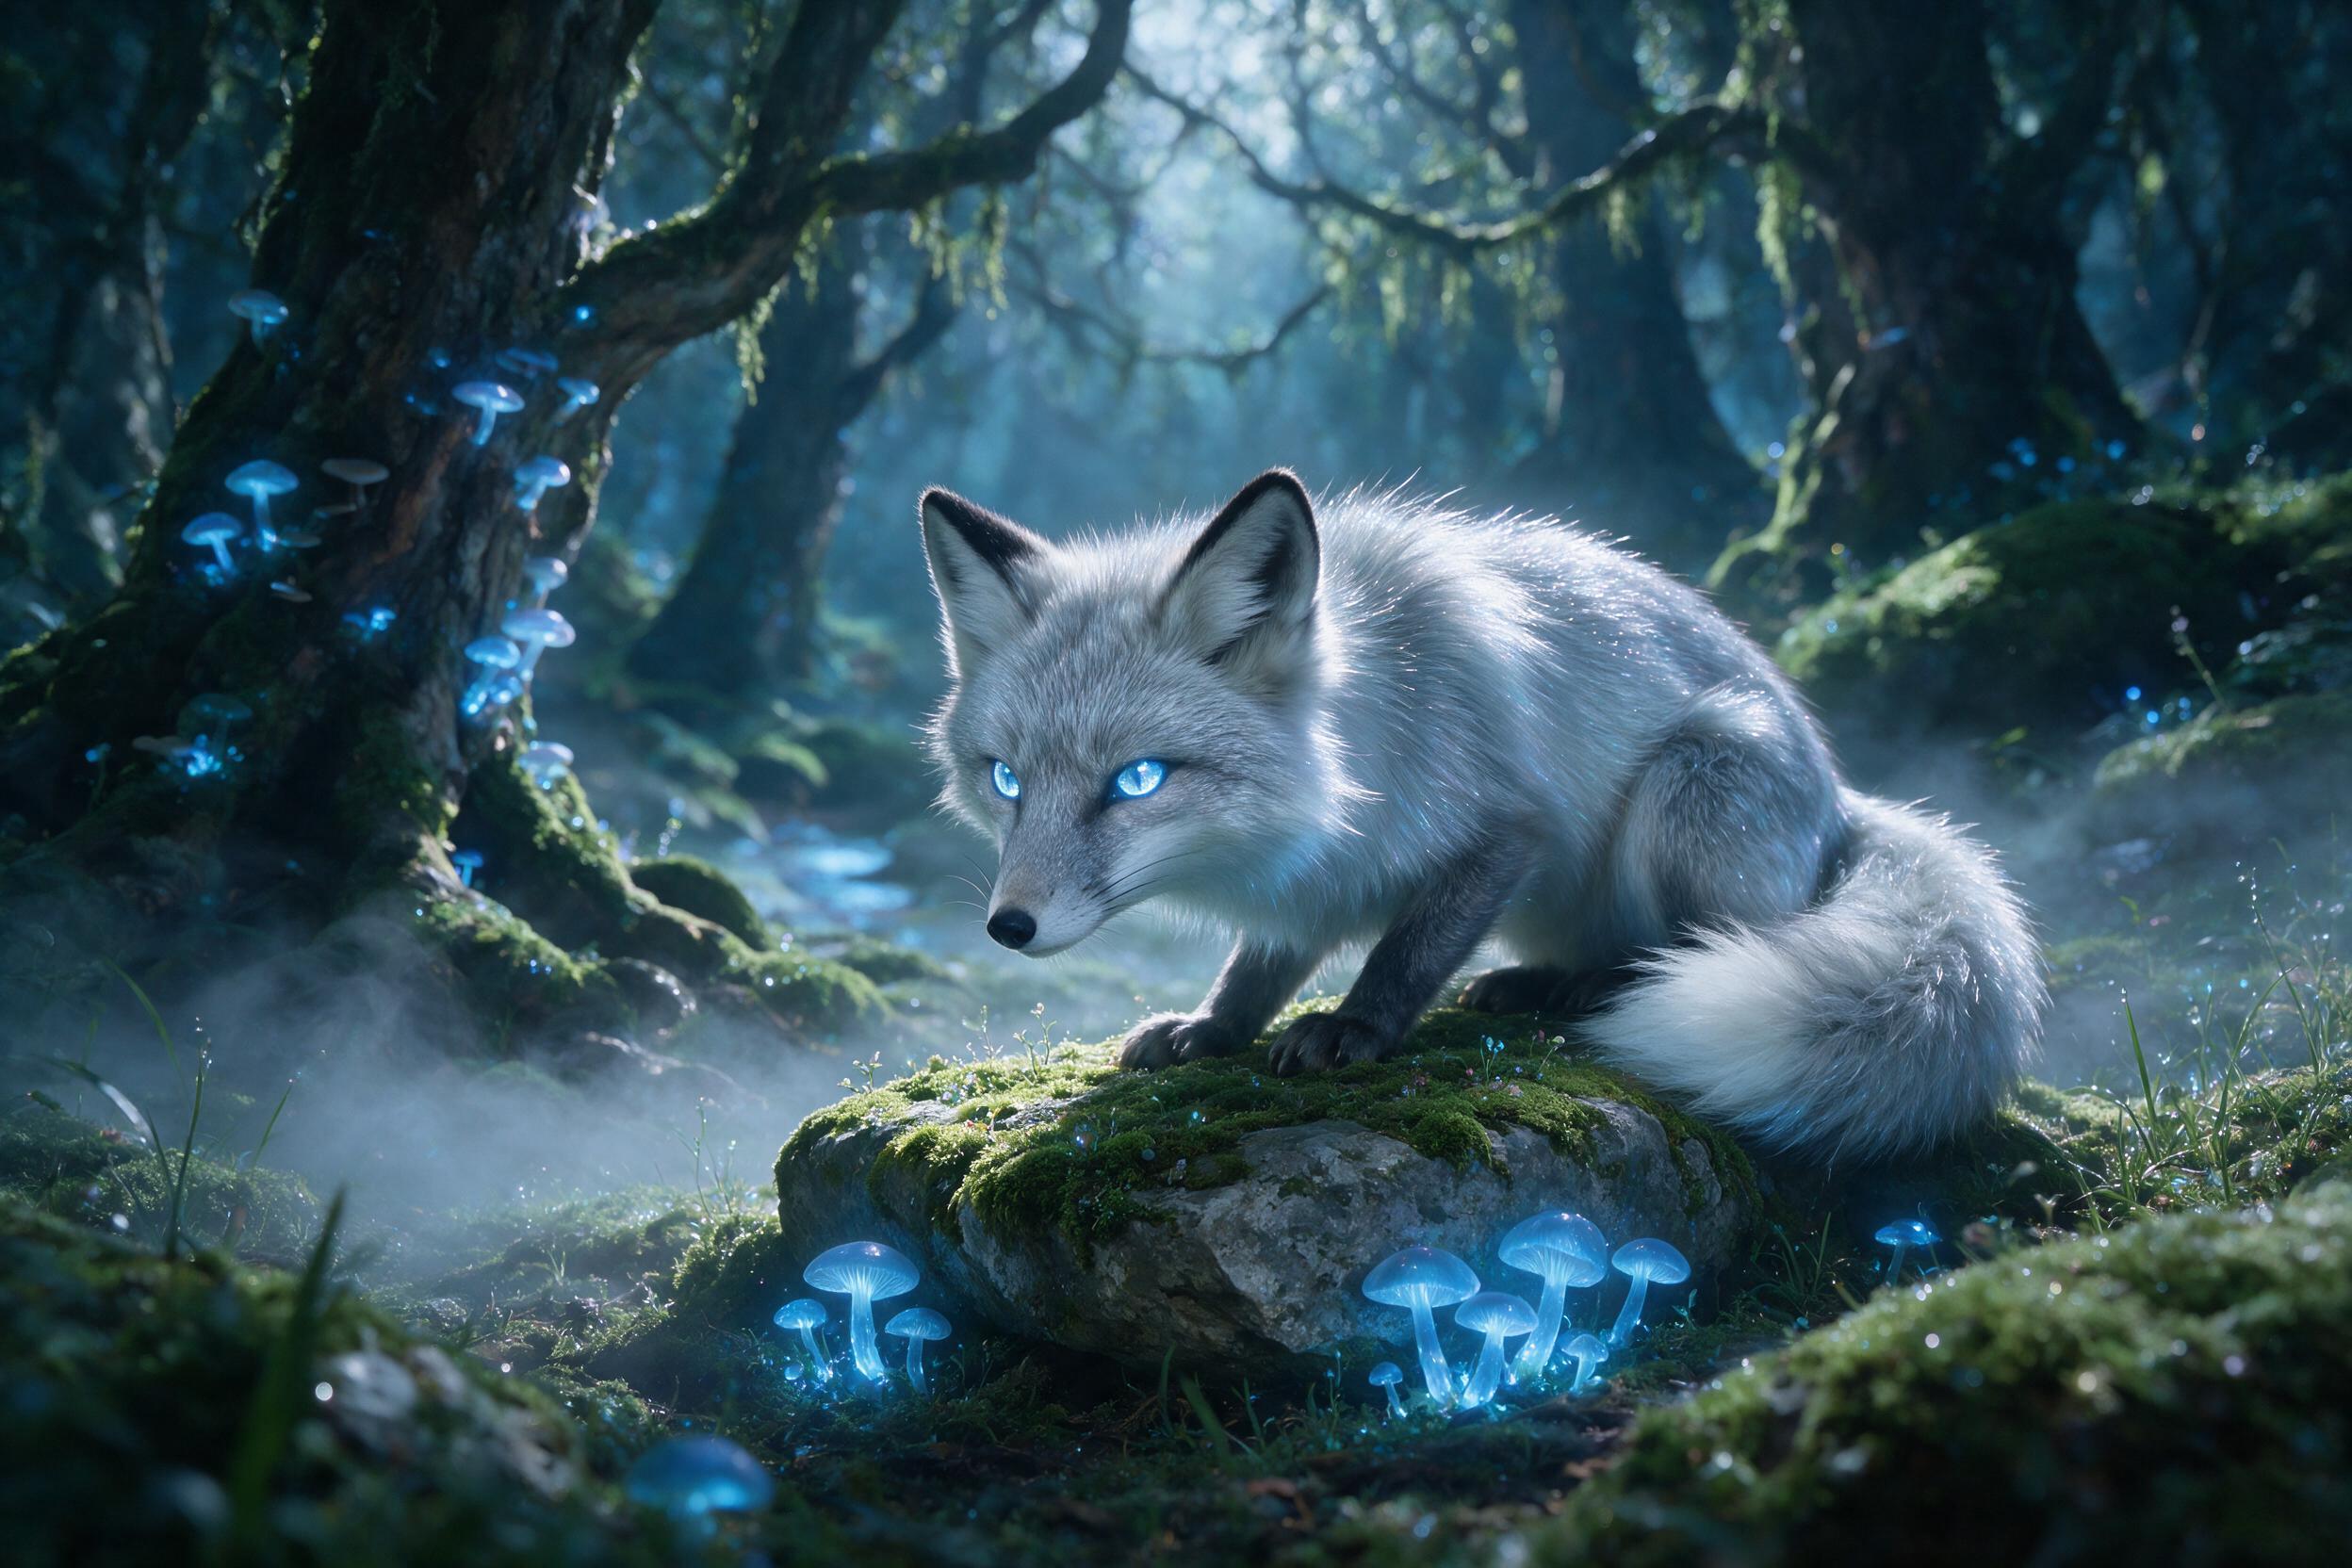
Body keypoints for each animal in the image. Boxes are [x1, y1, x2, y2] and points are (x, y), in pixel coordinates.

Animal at [917, 469, 2044, 1160]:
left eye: (1138, 779)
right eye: (1006, 780)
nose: (1008, 926)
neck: (1363, 740)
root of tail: (1842, 795)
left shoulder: (1505, 830)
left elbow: (1406, 950)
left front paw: (1354, 1028)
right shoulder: (1308, 881)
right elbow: (1263, 961)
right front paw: (1218, 1025)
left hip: (1691, 783)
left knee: (1704, 944)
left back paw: (1595, 992)